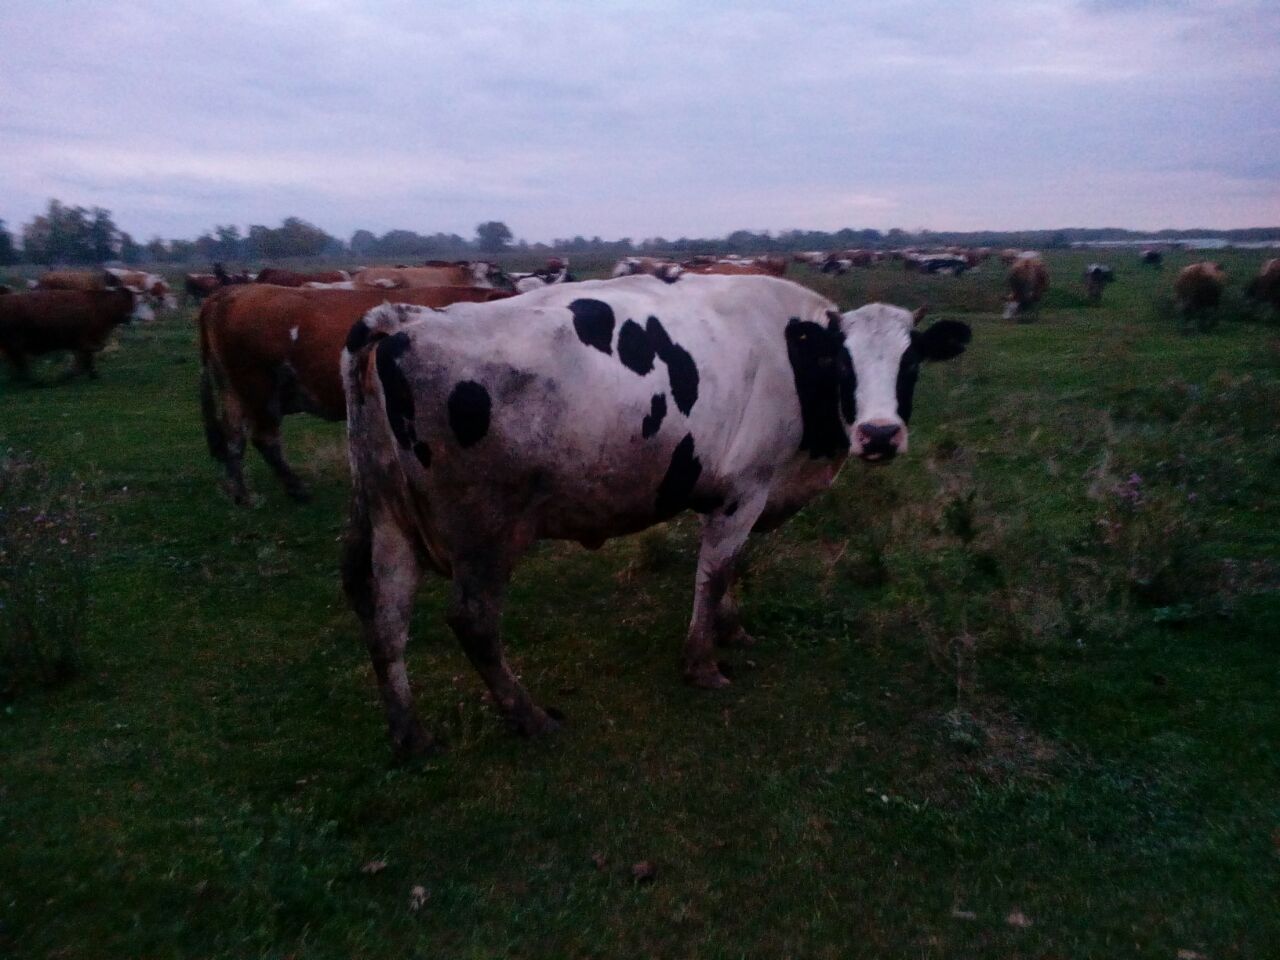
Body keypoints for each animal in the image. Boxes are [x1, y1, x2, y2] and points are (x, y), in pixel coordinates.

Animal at [0, 287, 139, 380]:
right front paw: (90, 374)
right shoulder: (86, 341)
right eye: (125, 303)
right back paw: (26, 379)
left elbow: (86, 358)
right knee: (19, 362)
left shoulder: (82, 343)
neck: (98, 305)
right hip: (14, 344)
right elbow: (86, 358)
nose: (129, 318)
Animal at [199, 284, 514, 503]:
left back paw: (241, 493)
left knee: (233, 438)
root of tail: (230, 292)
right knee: (264, 439)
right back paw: (296, 489)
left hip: (233, 391)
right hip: (259, 388)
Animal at [339, 274, 972, 758]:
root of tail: (407, 322)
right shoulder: (744, 490)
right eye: (843, 364)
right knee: (472, 622)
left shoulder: (739, 494)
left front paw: (730, 628)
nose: (880, 434)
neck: (791, 355)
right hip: (484, 533)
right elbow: (714, 574)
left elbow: (730, 569)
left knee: (385, 616)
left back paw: (410, 733)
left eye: (911, 363)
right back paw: (528, 716)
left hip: (390, 522)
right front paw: (701, 662)